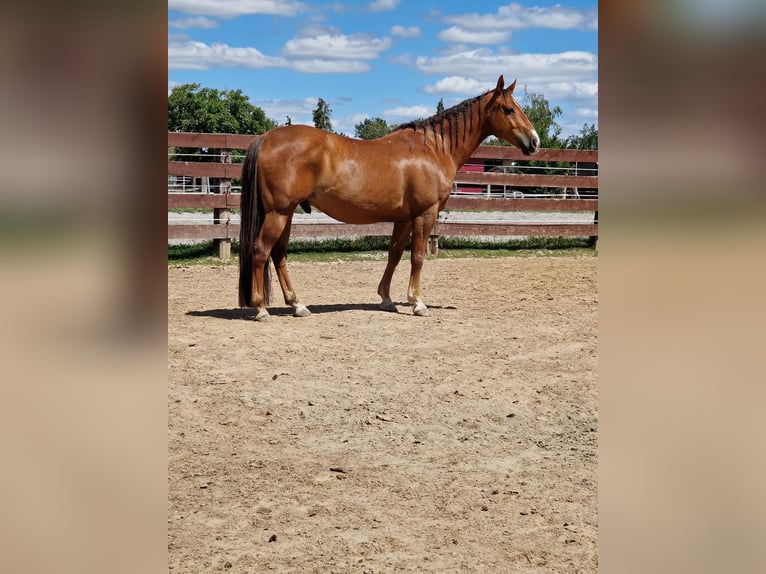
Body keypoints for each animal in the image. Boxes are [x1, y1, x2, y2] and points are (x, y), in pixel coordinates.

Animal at [238, 75, 539, 321]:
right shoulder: (425, 214)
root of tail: (266, 138)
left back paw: (297, 305)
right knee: (261, 251)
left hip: (286, 214)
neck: (432, 150)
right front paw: (417, 302)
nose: (534, 141)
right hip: (278, 213)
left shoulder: (403, 218)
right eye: (509, 109)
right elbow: (417, 256)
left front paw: (386, 298)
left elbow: (394, 254)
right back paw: (261, 308)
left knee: (279, 255)